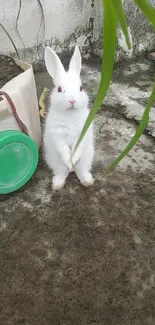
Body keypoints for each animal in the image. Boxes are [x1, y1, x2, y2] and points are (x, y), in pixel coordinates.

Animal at [43, 44, 94, 189]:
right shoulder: (57, 134)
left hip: (87, 158)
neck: (70, 114)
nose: (72, 100)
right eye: (60, 89)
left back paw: (87, 180)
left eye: (81, 88)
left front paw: (74, 159)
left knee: (81, 170)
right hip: (54, 161)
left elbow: (77, 147)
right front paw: (69, 160)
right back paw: (57, 184)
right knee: (62, 172)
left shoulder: (83, 132)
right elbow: (64, 149)